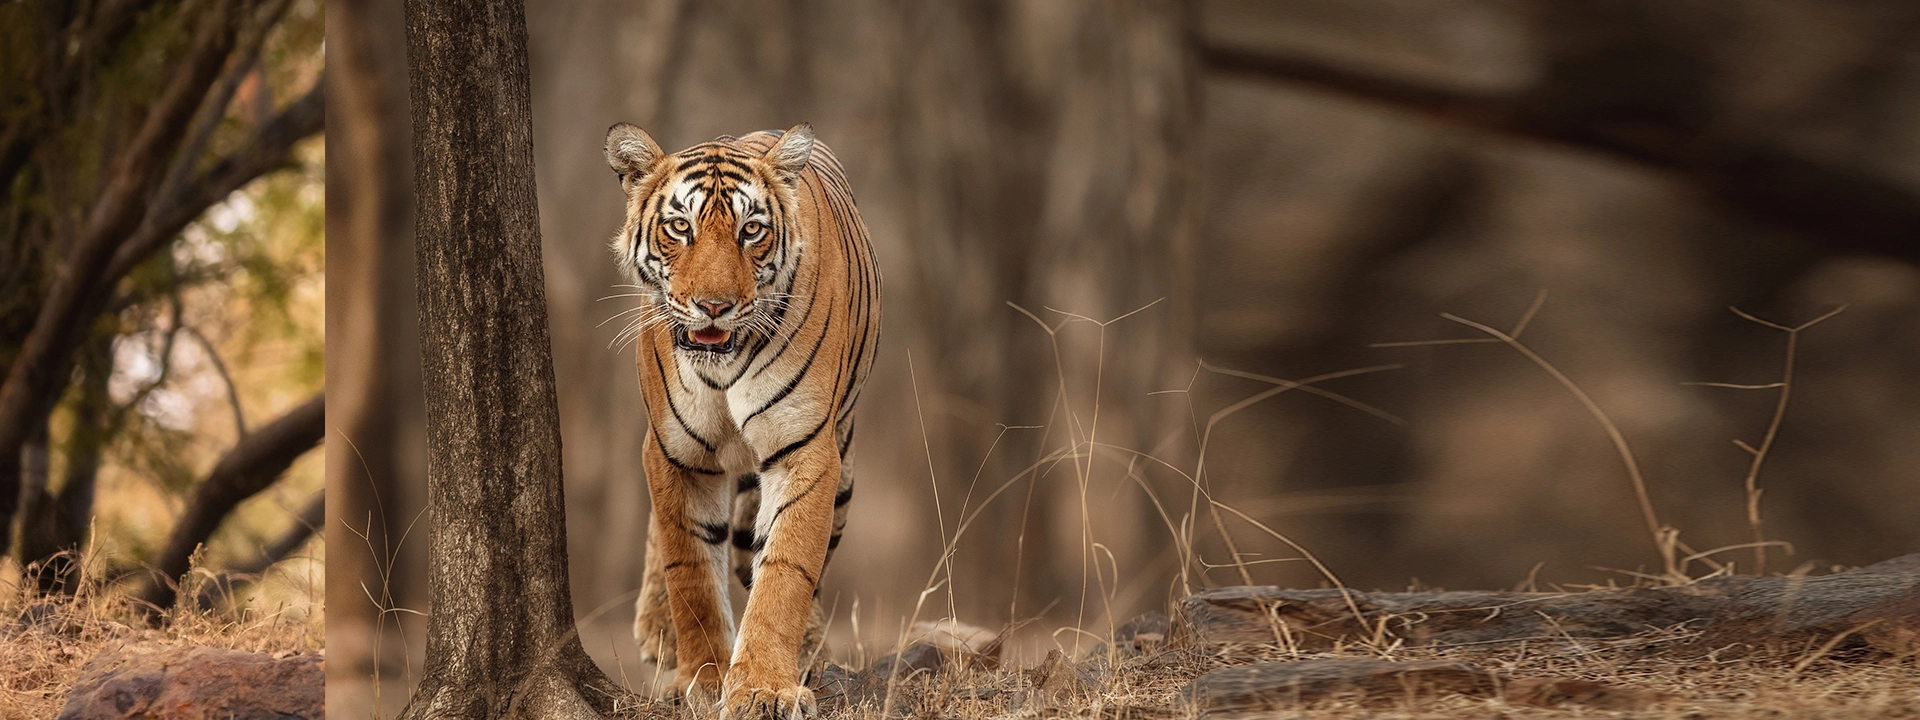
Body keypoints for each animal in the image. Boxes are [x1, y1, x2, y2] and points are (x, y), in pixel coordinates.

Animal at [602, 121, 879, 718]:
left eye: (751, 230)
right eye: (679, 227)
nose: (714, 306)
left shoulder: (805, 450)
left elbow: (785, 571)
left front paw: (764, 688)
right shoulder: (673, 453)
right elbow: (690, 571)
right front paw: (703, 680)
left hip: (843, 468)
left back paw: (811, 651)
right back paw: (657, 630)